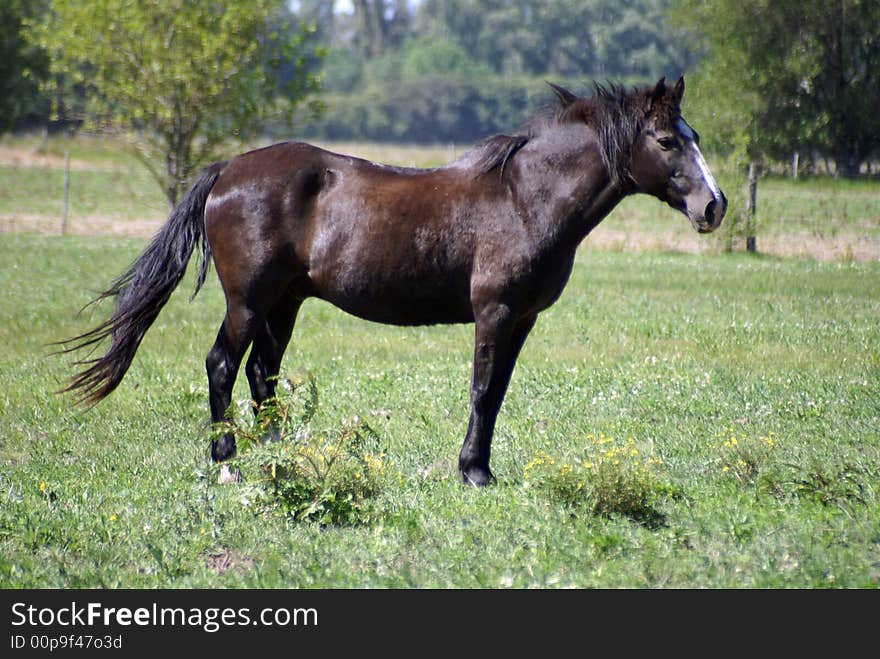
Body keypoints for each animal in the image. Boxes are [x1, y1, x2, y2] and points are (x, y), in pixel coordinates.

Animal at [58, 78, 724, 490]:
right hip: (248, 300)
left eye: (693, 137)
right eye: (668, 140)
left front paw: (481, 468)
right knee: (223, 365)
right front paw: (473, 472)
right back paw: (229, 464)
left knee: (262, 373)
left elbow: (498, 393)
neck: (522, 197)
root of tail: (227, 171)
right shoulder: (496, 311)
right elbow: (482, 389)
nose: (713, 207)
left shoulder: (523, 319)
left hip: (285, 302)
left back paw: (278, 454)